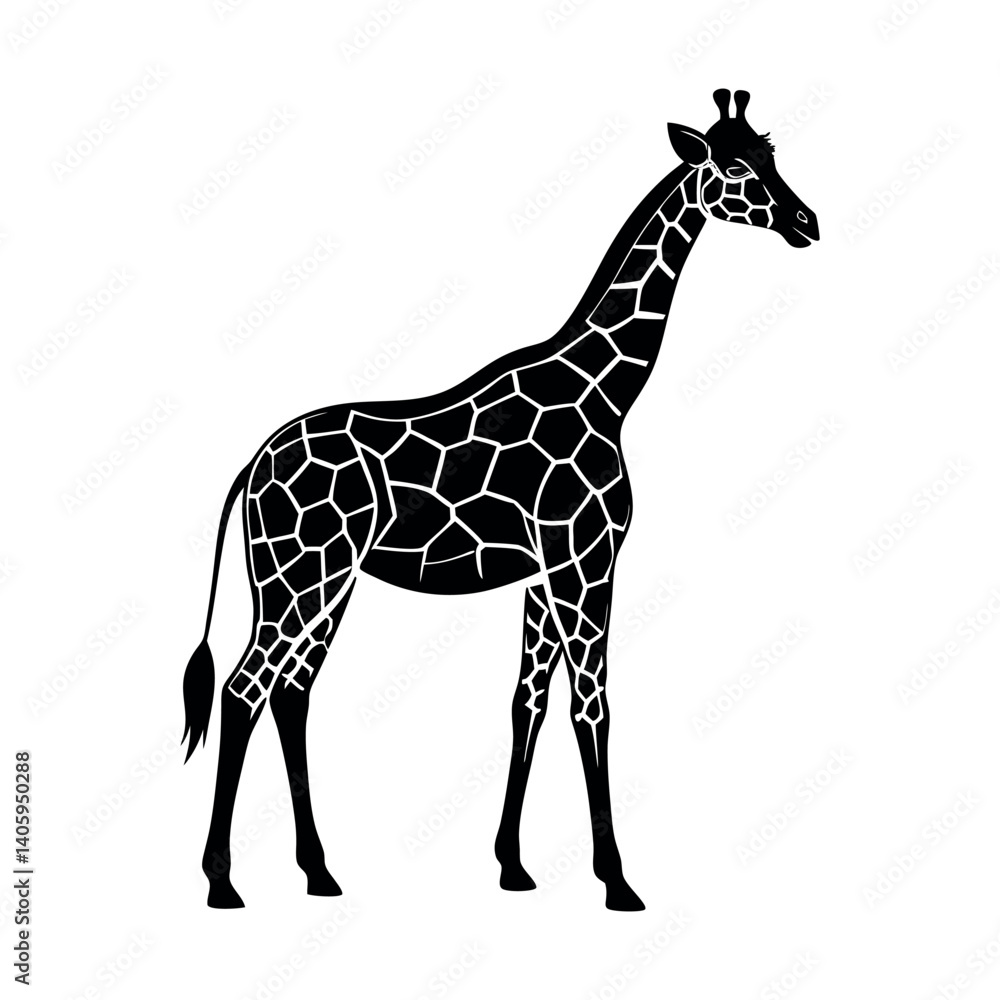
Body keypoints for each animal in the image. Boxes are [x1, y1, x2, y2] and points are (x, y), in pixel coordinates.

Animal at [182, 89, 819, 911]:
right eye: (735, 167)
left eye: (772, 154)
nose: (808, 222)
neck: (607, 390)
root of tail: (251, 466)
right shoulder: (584, 560)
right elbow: (592, 704)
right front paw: (617, 880)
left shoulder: (544, 575)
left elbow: (528, 703)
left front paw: (513, 866)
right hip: (305, 574)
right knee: (244, 690)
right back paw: (222, 882)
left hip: (318, 580)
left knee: (290, 692)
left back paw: (319, 872)